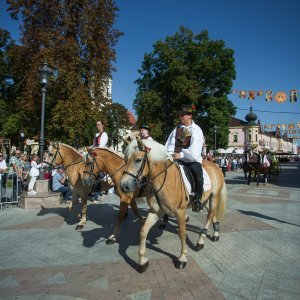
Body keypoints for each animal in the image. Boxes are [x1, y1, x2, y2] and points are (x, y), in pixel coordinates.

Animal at [119, 139, 227, 274]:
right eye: (125, 159)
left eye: (138, 160)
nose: (124, 186)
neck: (164, 181)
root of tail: (215, 166)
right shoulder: (155, 212)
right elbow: (143, 231)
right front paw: (142, 262)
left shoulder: (180, 213)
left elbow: (182, 234)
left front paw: (182, 258)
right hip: (206, 199)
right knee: (212, 214)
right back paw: (215, 234)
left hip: (214, 197)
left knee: (210, 215)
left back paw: (200, 242)